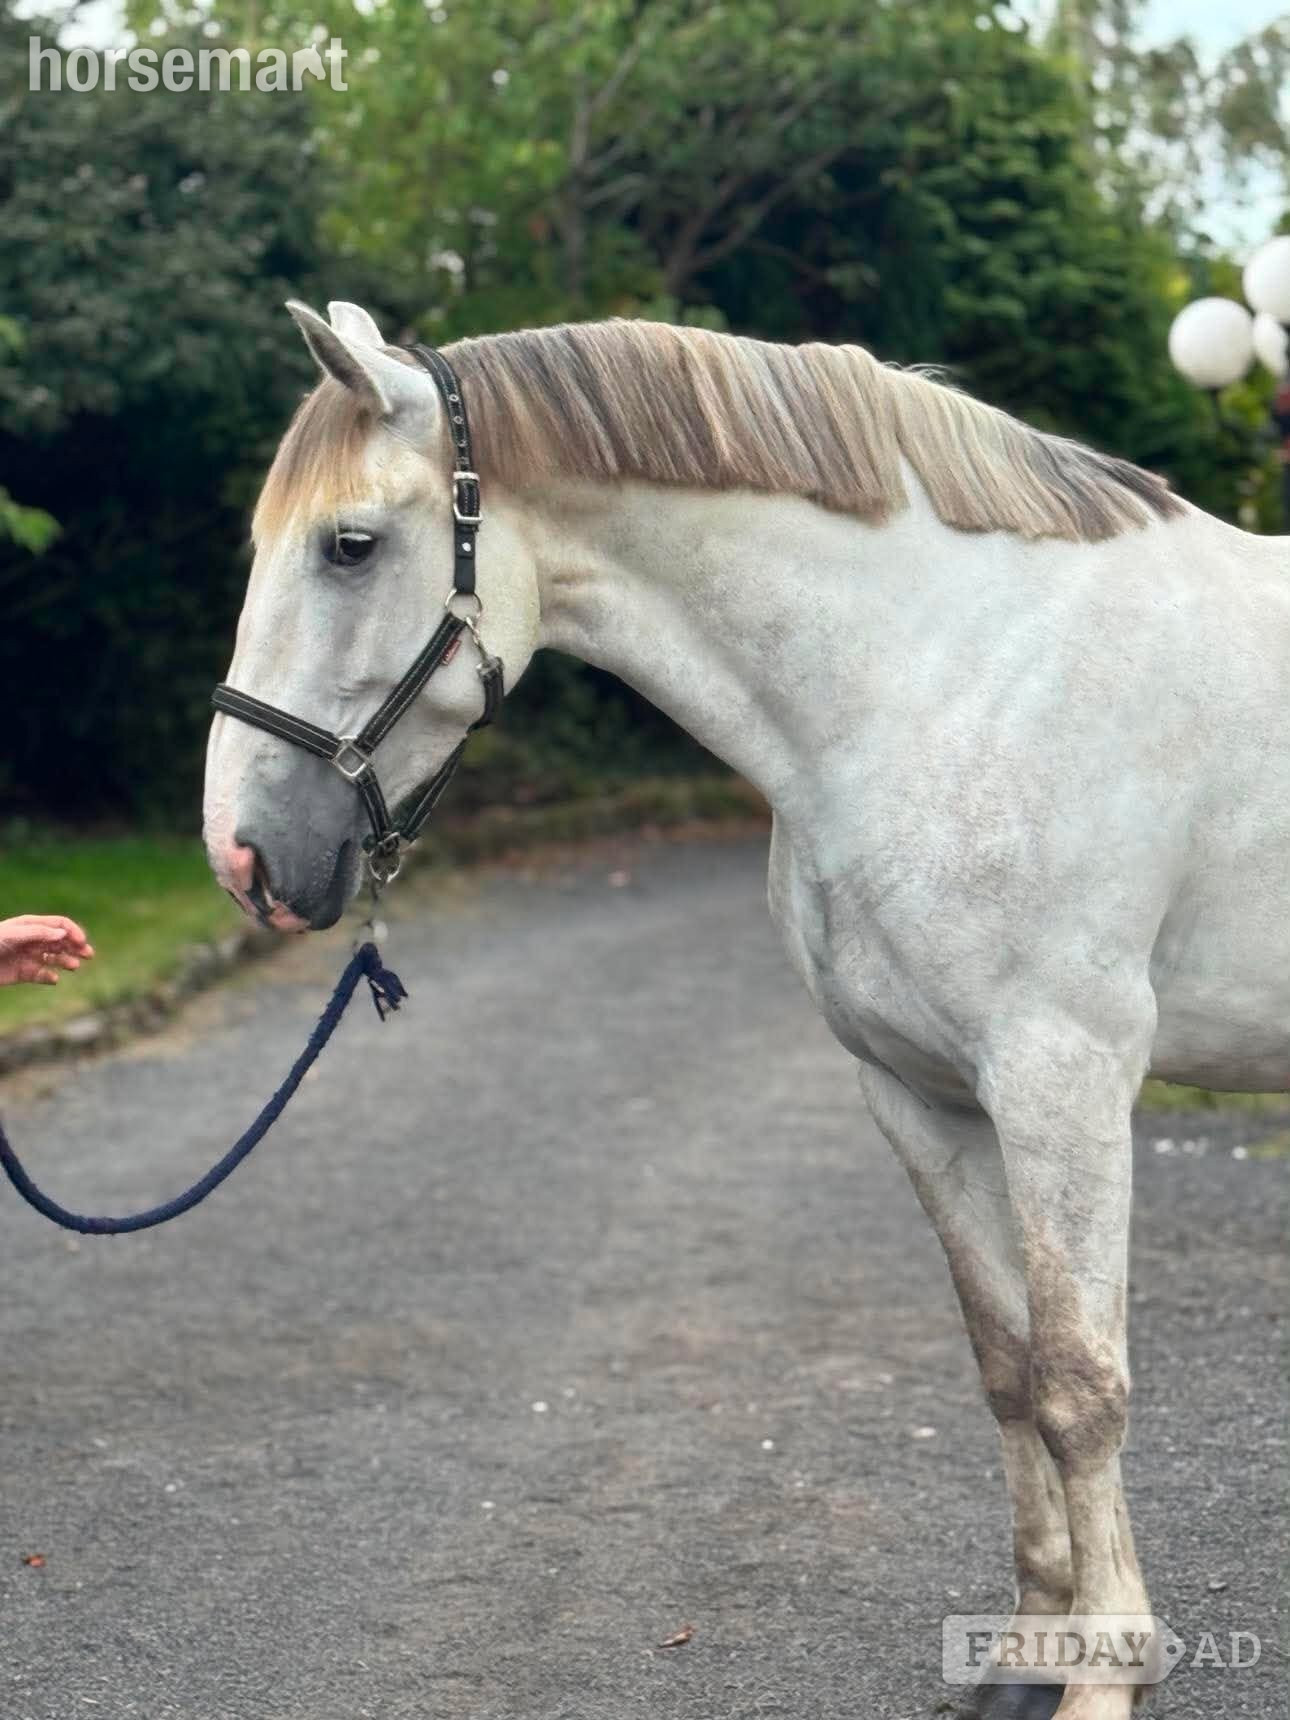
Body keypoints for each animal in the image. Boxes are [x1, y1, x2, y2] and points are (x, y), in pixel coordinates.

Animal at [203, 300, 1290, 1719]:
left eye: (349, 545)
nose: (239, 854)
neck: (940, 678)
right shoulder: (922, 1095)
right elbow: (1005, 1366)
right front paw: (1025, 1652)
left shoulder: (1064, 1083)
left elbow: (1078, 1382)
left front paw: (1105, 1674)